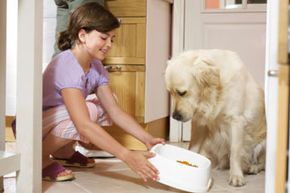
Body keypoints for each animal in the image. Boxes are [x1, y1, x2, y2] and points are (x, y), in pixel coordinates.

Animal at [165, 49, 268, 187]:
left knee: (263, 164)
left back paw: (252, 168)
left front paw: (236, 176)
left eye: (182, 92)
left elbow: (235, 151)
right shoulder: (199, 123)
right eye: (170, 92)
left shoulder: (236, 121)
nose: (175, 116)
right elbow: (193, 147)